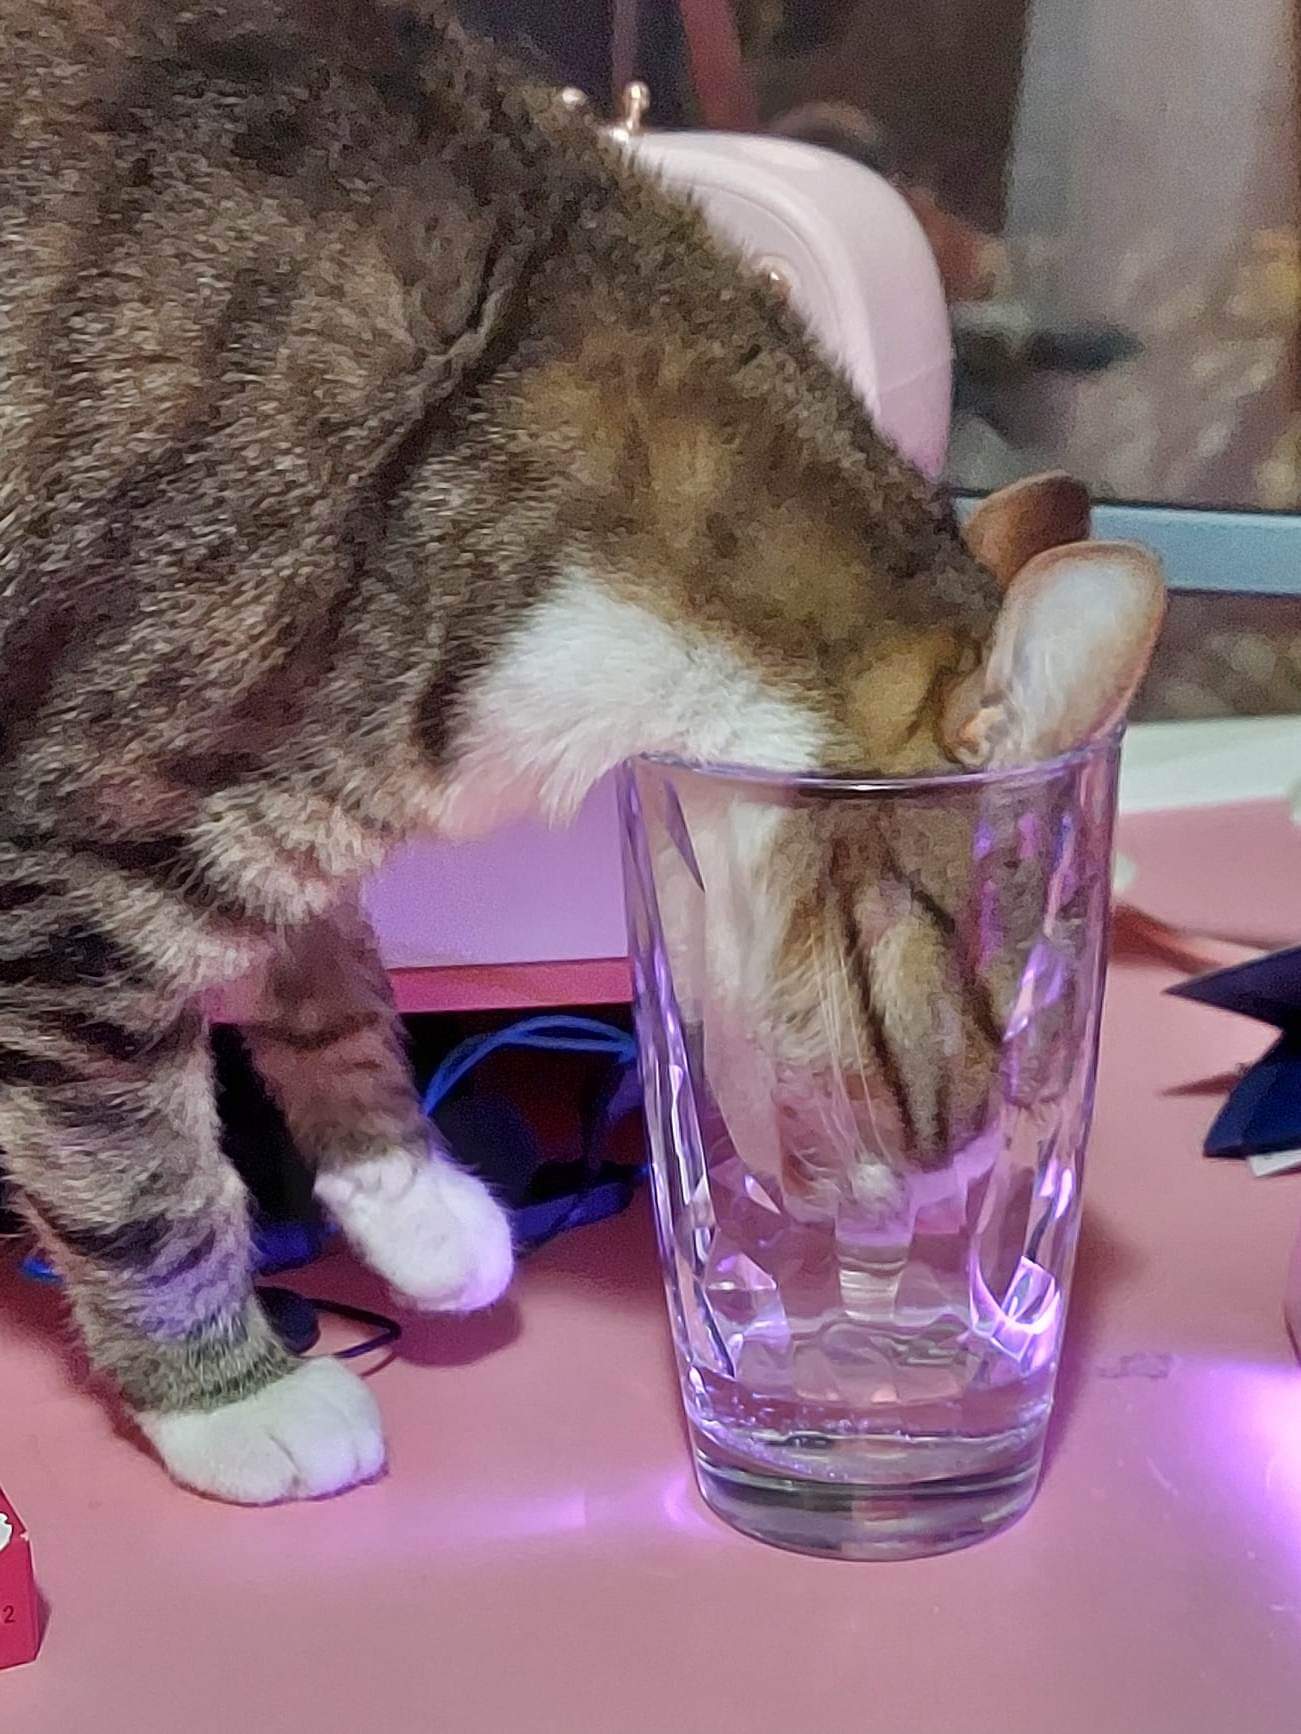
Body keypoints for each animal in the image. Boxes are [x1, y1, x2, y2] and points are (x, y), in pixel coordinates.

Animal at [0, 0, 1172, 1498]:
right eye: (989, 1052)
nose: (931, 1198)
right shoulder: (93, 839)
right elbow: (127, 1159)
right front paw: (228, 1392)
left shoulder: (272, 774)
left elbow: (321, 954)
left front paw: (406, 1192)